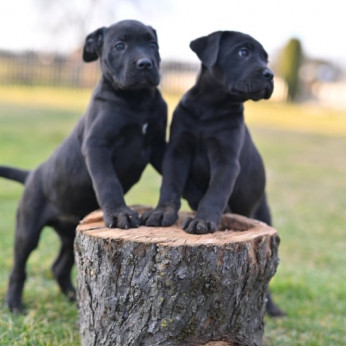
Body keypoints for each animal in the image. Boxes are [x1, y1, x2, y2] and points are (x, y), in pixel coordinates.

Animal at [0, 19, 168, 314]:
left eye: (152, 43)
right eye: (119, 45)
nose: (145, 63)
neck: (138, 100)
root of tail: (31, 174)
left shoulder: (158, 145)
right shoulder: (97, 146)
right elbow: (108, 181)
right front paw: (120, 214)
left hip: (69, 234)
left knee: (59, 266)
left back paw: (74, 298)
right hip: (27, 228)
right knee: (19, 266)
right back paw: (15, 305)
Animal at [142, 31, 286, 316]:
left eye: (266, 58)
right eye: (243, 52)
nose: (270, 74)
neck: (210, 107)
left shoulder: (227, 161)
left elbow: (215, 193)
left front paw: (203, 221)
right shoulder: (177, 151)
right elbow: (171, 185)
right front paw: (162, 212)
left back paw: (273, 308)